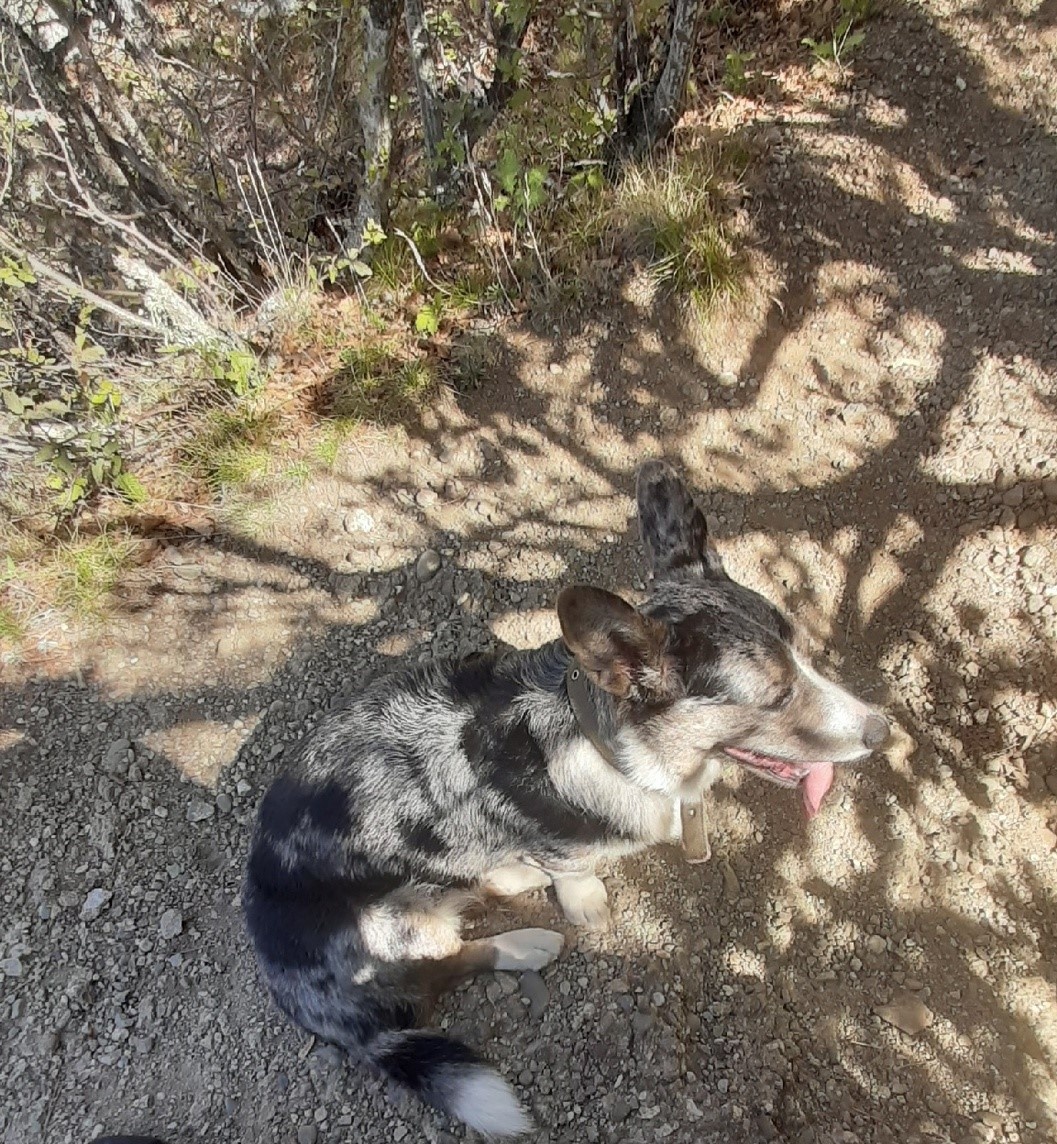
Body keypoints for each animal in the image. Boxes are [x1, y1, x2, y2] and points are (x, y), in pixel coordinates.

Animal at [243, 462, 887, 1134]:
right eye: (777, 694)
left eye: (805, 655)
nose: (884, 732)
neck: (610, 747)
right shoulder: (561, 845)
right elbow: (575, 871)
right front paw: (584, 904)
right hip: (392, 926)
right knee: (445, 965)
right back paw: (528, 942)